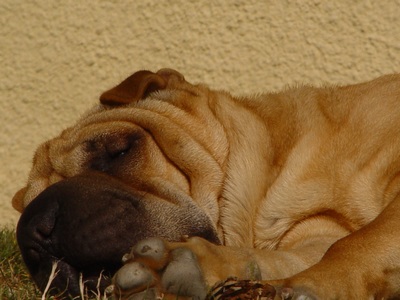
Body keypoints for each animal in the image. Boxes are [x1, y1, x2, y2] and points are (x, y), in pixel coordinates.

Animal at [12, 68, 400, 300]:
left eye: (119, 150)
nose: (36, 227)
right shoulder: (312, 234)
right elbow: (285, 257)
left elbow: (355, 244)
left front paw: (305, 285)